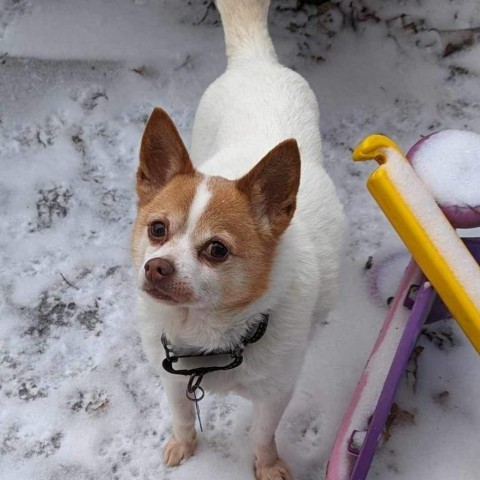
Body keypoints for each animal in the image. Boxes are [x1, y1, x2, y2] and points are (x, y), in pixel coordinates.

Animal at [129, 1, 344, 478]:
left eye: (217, 250)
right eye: (157, 229)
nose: (156, 267)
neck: (207, 338)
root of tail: (255, 61)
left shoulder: (275, 394)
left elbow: (263, 434)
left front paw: (268, 465)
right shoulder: (171, 380)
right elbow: (181, 415)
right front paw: (183, 444)